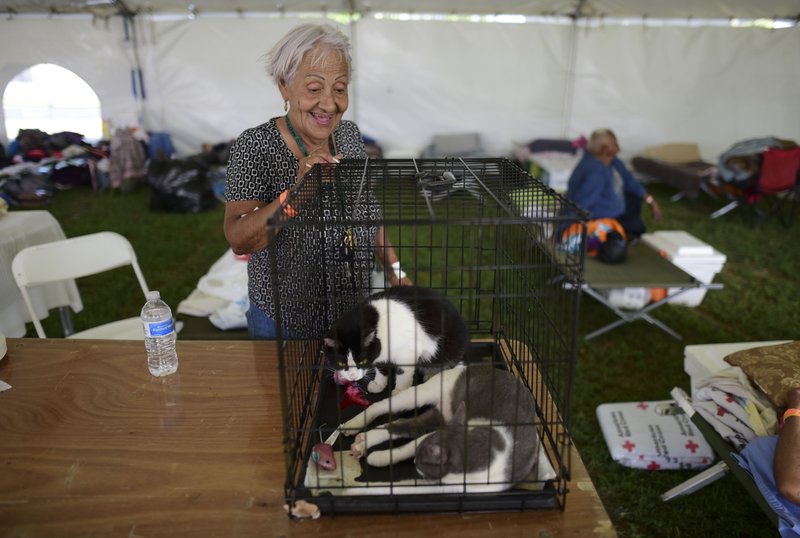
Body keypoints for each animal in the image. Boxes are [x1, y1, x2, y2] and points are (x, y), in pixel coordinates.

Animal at [320, 284, 468, 394]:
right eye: (340, 363)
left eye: (362, 361)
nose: (353, 376)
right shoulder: (378, 352)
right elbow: (380, 366)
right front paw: (379, 383)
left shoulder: (407, 352)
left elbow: (403, 372)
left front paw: (400, 392)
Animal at [338, 362, 536, 492]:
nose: (415, 463)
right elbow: (407, 447)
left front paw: (378, 458)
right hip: (421, 394)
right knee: (380, 406)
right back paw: (354, 425)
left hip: (437, 418)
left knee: (402, 426)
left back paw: (363, 442)